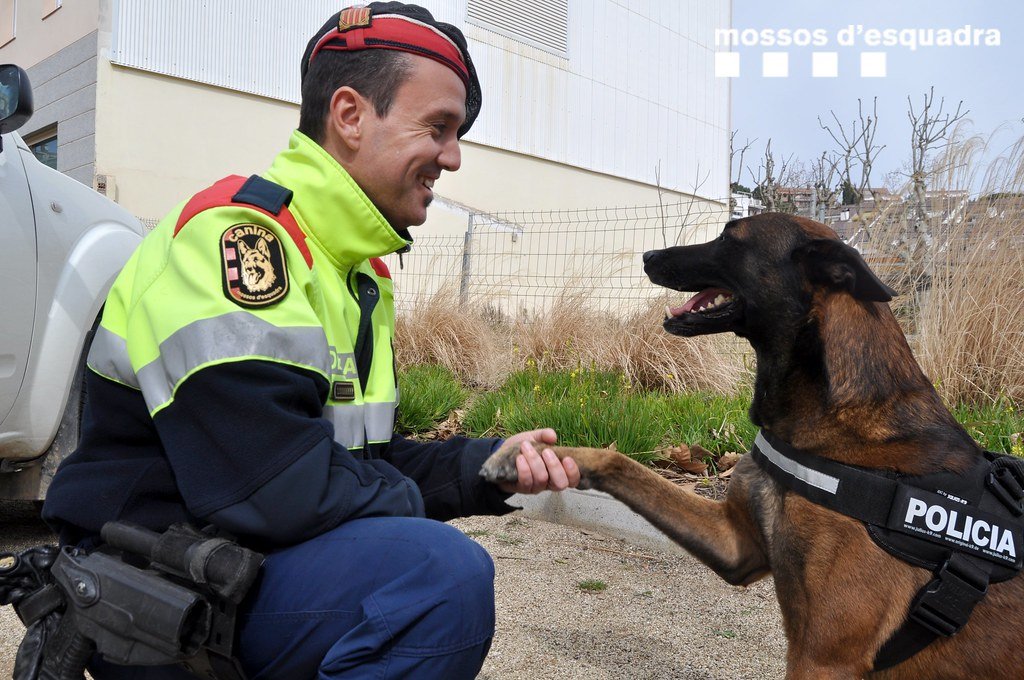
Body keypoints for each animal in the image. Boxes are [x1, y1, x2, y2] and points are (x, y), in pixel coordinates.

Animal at [481, 214, 1024, 680]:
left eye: (730, 237)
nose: (648, 254)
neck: (827, 417)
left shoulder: (823, 657)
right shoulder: (736, 545)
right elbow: (619, 459)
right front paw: (532, 455)